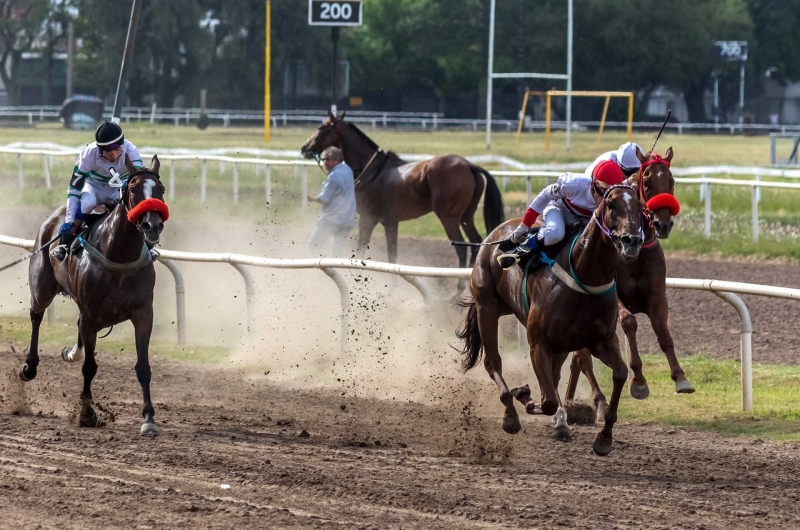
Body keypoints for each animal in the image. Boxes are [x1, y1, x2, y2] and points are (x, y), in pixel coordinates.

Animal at [21, 155, 169, 436]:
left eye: (161, 190)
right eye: (133, 189)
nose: (152, 225)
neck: (119, 256)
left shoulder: (143, 313)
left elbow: (143, 367)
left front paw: (149, 419)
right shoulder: (90, 315)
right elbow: (89, 366)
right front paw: (87, 413)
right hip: (42, 285)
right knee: (36, 315)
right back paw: (29, 366)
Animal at [304, 110, 504, 284]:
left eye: (322, 127)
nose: (305, 147)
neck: (372, 170)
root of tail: (469, 165)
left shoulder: (368, 219)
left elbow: (361, 251)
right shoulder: (391, 222)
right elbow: (392, 257)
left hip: (449, 218)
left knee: (462, 250)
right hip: (466, 217)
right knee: (476, 243)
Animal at [456, 179, 644, 452]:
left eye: (640, 207)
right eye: (611, 204)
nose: (632, 240)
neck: (585, 276)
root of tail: (494, 234)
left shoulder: (601, 340)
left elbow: (619, 373)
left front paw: (604, 437)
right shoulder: (539, 343)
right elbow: (548, 401)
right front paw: (525, 396)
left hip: (554, 338)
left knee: (553, 378)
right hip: (487, 307)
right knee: (493, 362)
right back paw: (511, 414)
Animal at [564, 146, 692, 418]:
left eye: (671, 181)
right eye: (647, 182)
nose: (663, 224)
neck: (636, 252)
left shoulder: (657, 296)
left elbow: (664, 334)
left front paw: (680, 378)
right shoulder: (615, 299)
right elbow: (630, 323)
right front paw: (639, 382)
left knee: (576, 360)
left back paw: (570, 401)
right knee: (582, 358)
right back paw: (599, 402)